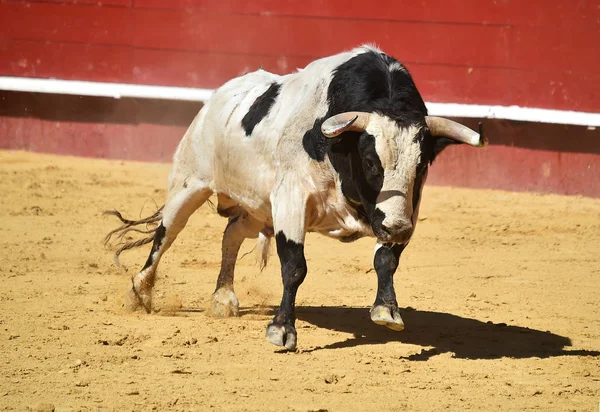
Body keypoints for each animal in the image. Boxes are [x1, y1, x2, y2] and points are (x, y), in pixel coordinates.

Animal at [105, 45, 486, 350]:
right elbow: (294, 267)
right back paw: (140, 292)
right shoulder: (291, 200)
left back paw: (224, 297)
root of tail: (215, 99)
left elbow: (386, 259)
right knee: (166, 234)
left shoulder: (405, 209)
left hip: (257, 209)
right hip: (189, 185)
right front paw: (281, 330)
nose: (398, 229)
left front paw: (386, 310)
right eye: (369, 161)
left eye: (422, 166)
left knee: (231, 235)